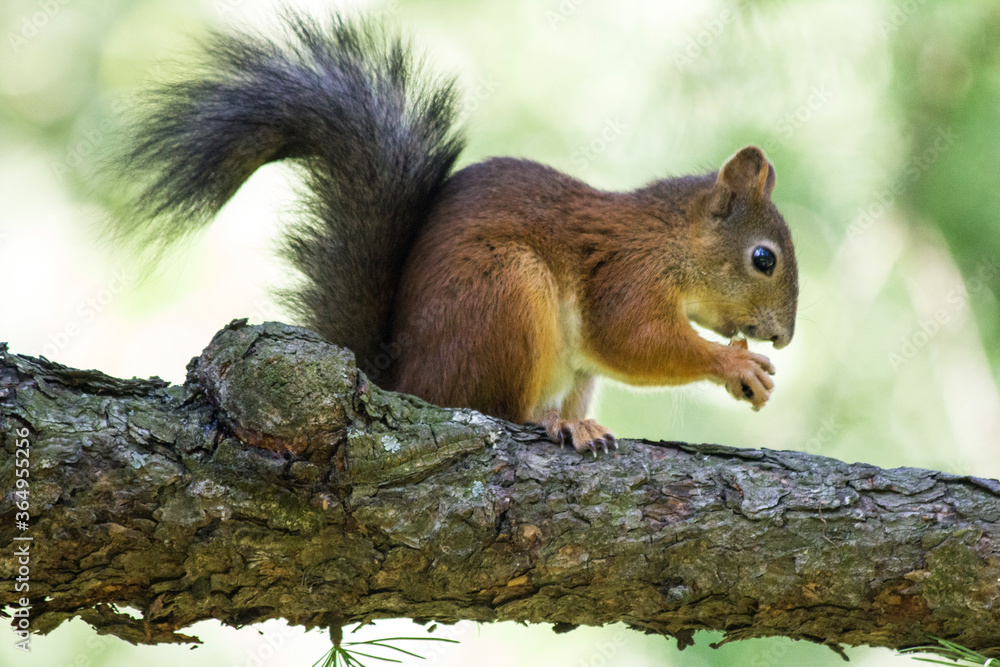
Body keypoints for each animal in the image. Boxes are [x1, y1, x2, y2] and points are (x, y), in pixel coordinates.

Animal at [117, 12, 798, 455]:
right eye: (763, 258)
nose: (784, 337)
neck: (672, 240)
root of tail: (403, 384)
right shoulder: (627, 272)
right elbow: (631, 338)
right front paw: (736, 363)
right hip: (506, 293)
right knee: (498, 410)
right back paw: (557, 425)